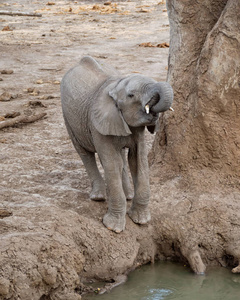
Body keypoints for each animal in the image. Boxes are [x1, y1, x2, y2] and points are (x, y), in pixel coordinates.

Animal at [60, 56, 172, 233]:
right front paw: (113, 227)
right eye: (131, 95)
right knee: (85, 153)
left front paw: (140, 220)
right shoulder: (98, 123)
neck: (116, 86)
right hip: (68, 118)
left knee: (121, 160)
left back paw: (128, 195)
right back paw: (98, 197)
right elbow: (111, 163)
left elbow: (138, 160)